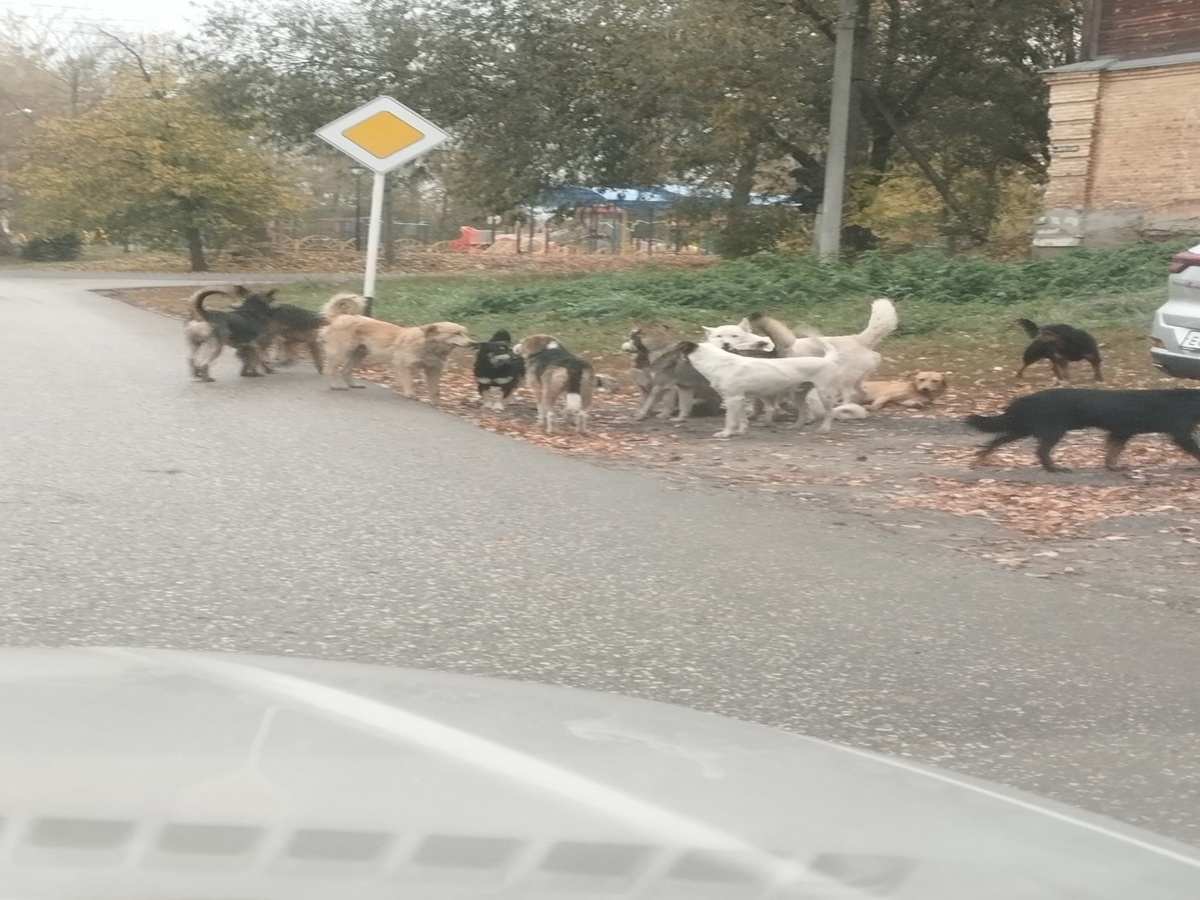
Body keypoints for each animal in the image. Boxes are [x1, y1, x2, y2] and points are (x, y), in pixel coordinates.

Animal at [321, 297, 475, 403]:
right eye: (456, 333)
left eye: (465, 333)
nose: (473, 343)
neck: (429, 346)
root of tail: (342, 317)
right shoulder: (403, 365)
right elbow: (409, 381)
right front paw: (410, 394)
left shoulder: (434, 370)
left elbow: (435, 390)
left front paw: (437, 403)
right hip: (340, 352)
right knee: (329, 370)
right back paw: (334, 385)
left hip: (359, 353)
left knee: (345, 370)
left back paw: (353, 384)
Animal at [681, 338, 840, 441]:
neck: (718, 362)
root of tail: (828, 359)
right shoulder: (739, 398)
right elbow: (742, 419)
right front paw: (741, 431)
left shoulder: (733, 398)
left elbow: (730, 420)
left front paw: (725, 434)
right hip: (797, 394)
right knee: (804, 410)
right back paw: (796, 426)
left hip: (824, 393)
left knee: (830, 412)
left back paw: (824, 429)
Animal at [964, 386, 1200, 472]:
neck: (1191, 402)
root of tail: (1025, 399)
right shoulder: (1180, 433)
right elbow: (1196, 450)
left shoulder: (1121, 432)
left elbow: (1112, 452)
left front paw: (1113, 467)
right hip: (1052, 429)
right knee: (1041, 451)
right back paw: (1054, 469)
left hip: (1022, 428)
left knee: (995, 441)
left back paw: (979, 459)